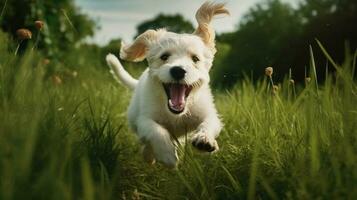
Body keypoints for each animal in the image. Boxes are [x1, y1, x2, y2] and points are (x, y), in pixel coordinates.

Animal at [105, 1, 228, 167]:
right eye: (164, 56)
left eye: (195, 59)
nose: (178, 70)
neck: (175, 114)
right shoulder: (144, 119)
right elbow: (155, 130)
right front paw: (167, 155)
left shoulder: (207, 112)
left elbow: (209, 123)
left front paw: (205, 139)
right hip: (133, 117)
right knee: (146, 142)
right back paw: (149, 155)